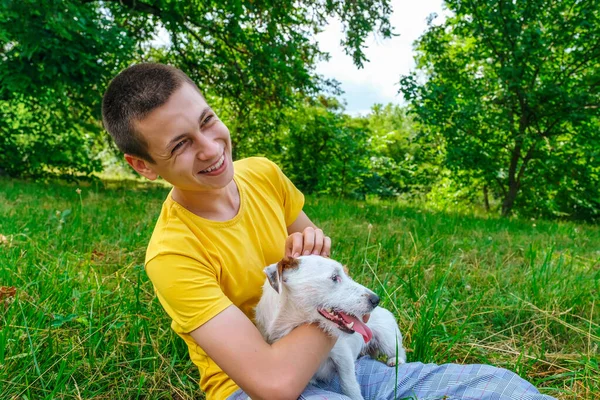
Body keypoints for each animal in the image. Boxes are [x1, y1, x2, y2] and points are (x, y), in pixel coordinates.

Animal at [254, 256, 408, 400]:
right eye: (334, 277)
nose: (376, 299)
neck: (288, 326)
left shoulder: (343, 355)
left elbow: (349, 385)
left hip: (387, 339)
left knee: (399, 350)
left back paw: (396, 360)